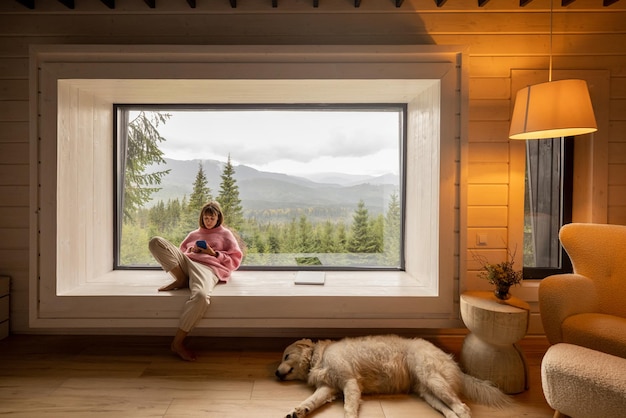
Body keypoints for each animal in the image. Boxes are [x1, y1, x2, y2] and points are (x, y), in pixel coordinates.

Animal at [276, 334, 510, 418]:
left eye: (286, 355)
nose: (276, 373)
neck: (319, 356)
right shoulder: (329, 387)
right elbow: (311, 401)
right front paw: (298, 411)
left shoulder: (350, 383)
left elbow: (349, 407)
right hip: (429, 393)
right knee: (452, 411)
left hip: (433, 380)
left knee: (463, 408)